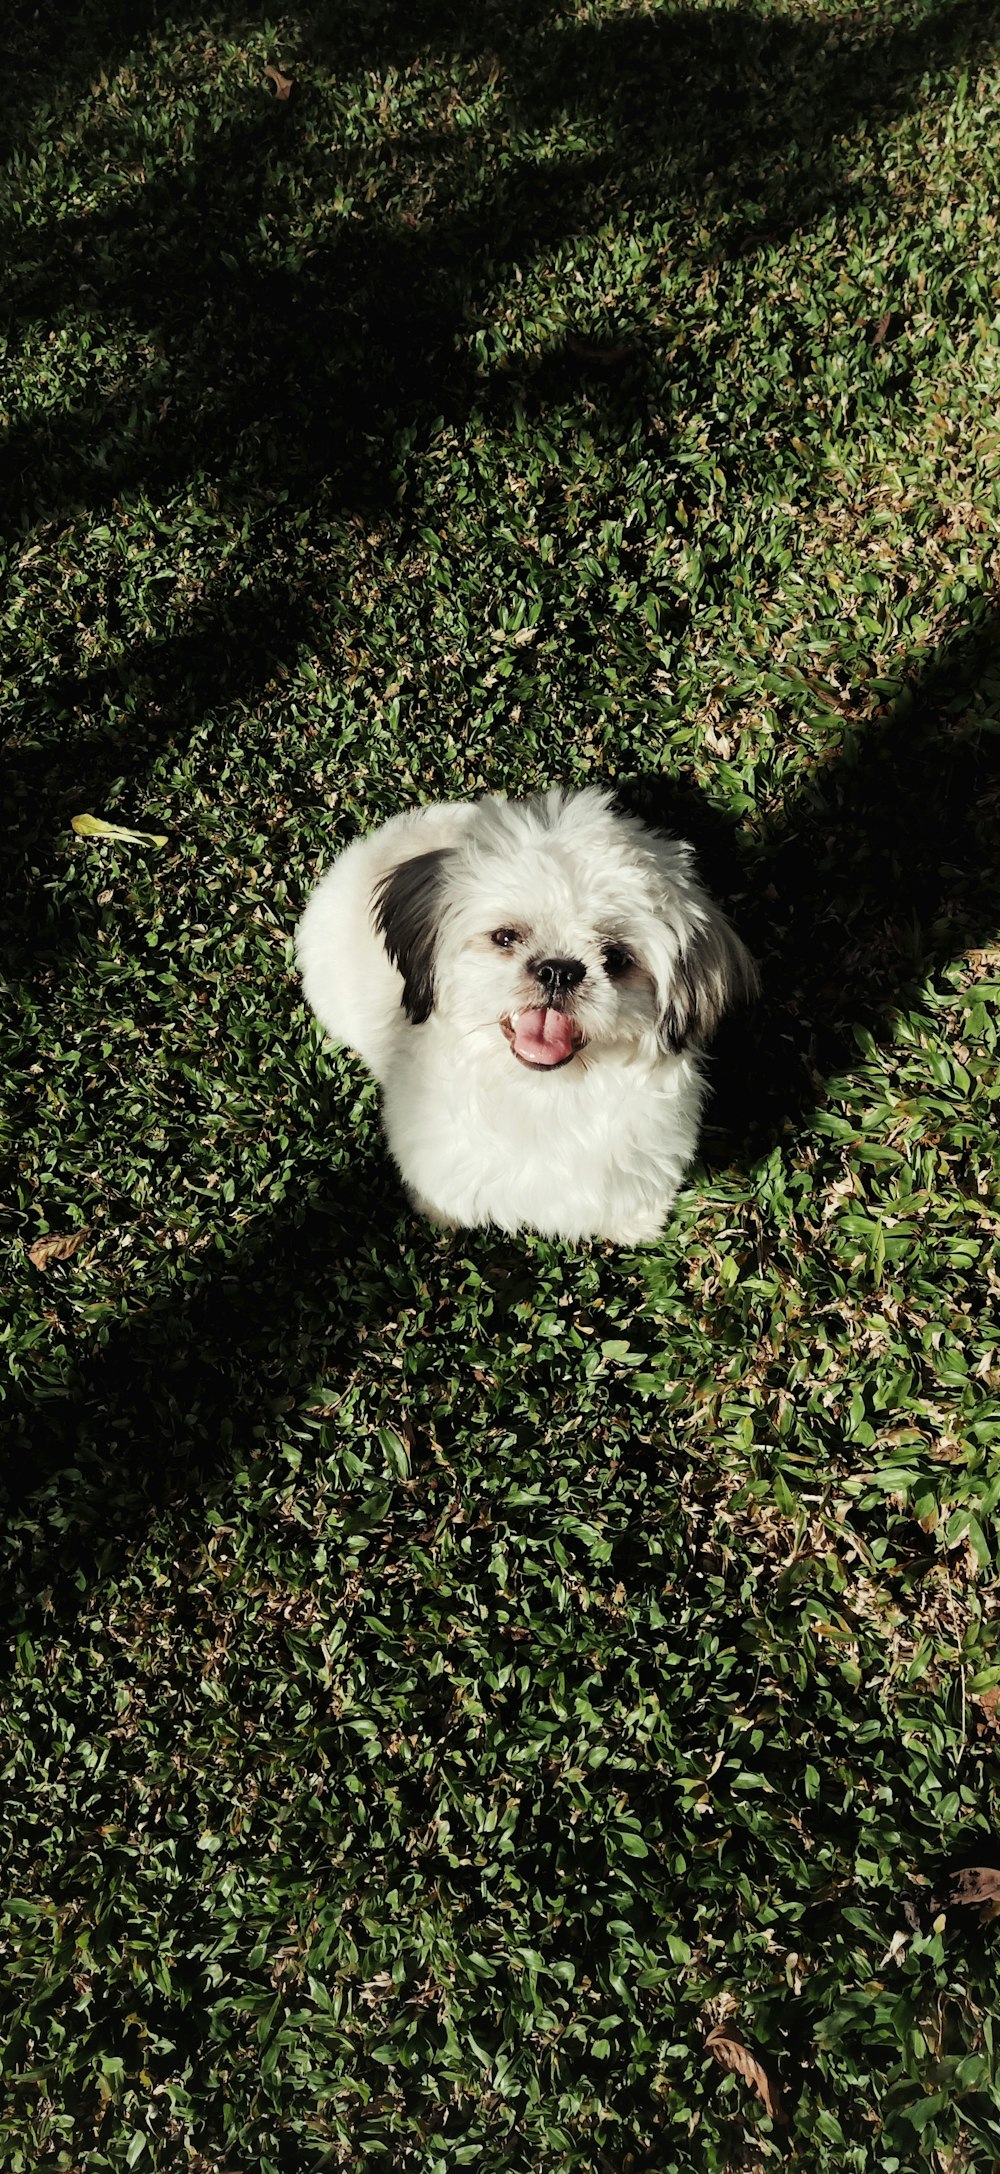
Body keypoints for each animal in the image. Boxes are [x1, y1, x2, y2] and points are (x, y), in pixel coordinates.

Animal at [297, 795, 756, 1243]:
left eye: (616, 958)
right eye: (505, 937)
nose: (558, 971)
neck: (542, 1094)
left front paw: (635, 1225)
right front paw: (440, 1214)